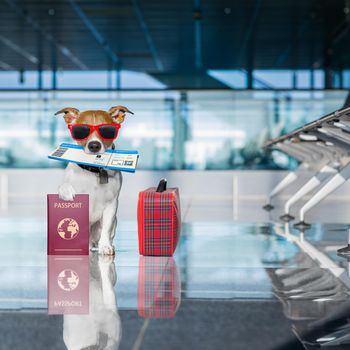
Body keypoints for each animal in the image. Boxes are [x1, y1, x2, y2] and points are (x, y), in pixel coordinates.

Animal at [55, 105, 133, 256]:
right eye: (81, 130)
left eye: (107, 130)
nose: (94, 145)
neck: (94, 168)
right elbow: (65, 188)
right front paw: (67, 190)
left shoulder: (112, 204)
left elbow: (106, 229)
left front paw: (105, 246)